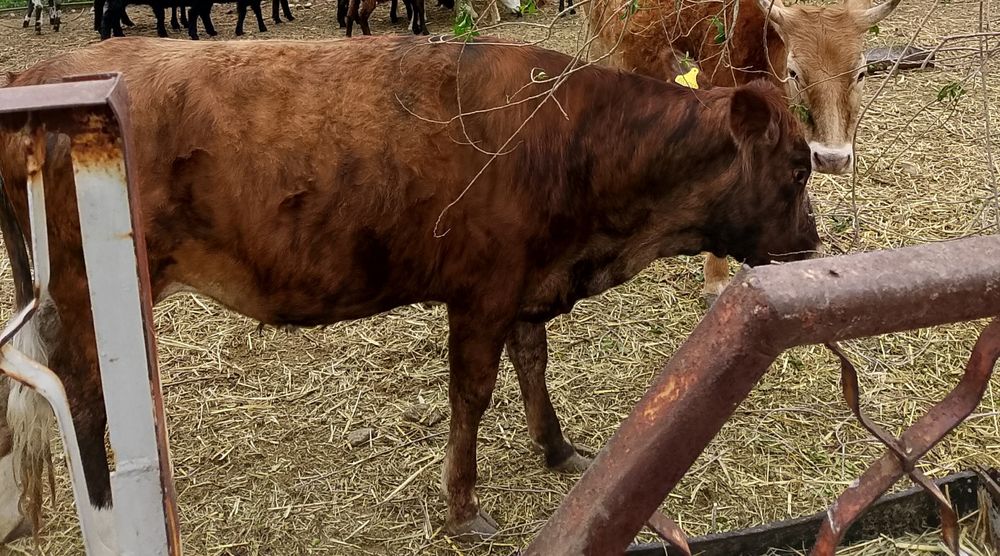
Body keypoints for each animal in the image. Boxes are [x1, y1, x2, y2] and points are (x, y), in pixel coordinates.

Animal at [0, 35, 820, 548]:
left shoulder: (527, 283)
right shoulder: (483, 290)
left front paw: (557, 448)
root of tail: (37, 76)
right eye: (798, 166)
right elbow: (472, 395)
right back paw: (103, 495)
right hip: (83, 291)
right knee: (80, 399)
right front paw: (464, 508)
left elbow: (534, 363)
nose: (812, 242)